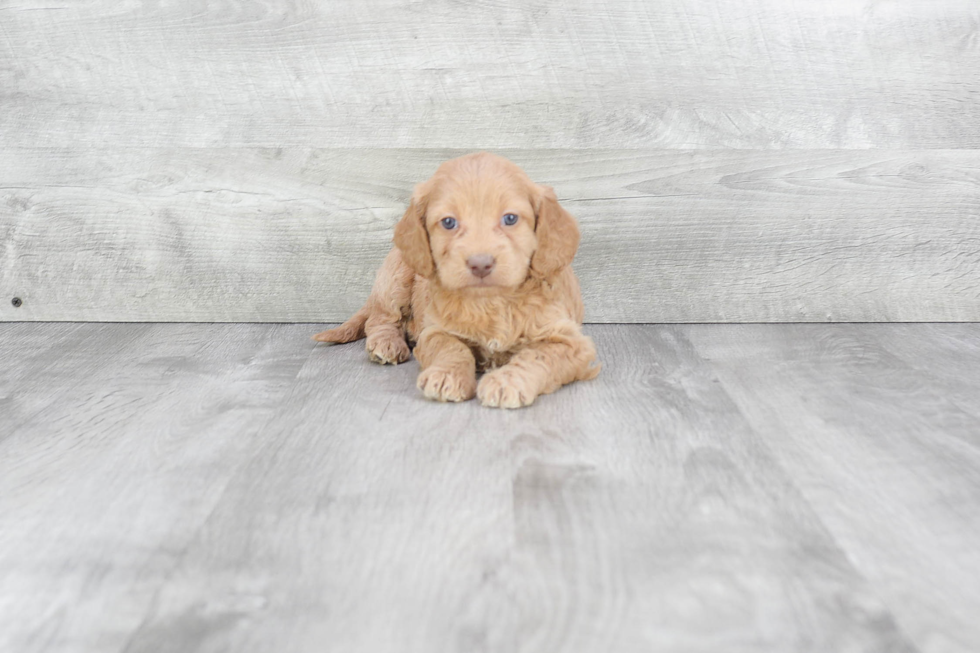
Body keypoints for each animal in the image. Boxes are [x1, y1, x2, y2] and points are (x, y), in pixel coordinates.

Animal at [314, 153, 600, 408]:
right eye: (449, 222)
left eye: (510, 218)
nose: (480, 263)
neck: (491, 301)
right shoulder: (435, 331)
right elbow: (451, 348)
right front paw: (446, 376)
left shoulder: (570, 342)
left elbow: (537, 356)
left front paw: (507, 382)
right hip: (396, 274)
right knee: (380, 318)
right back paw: (387, 342)